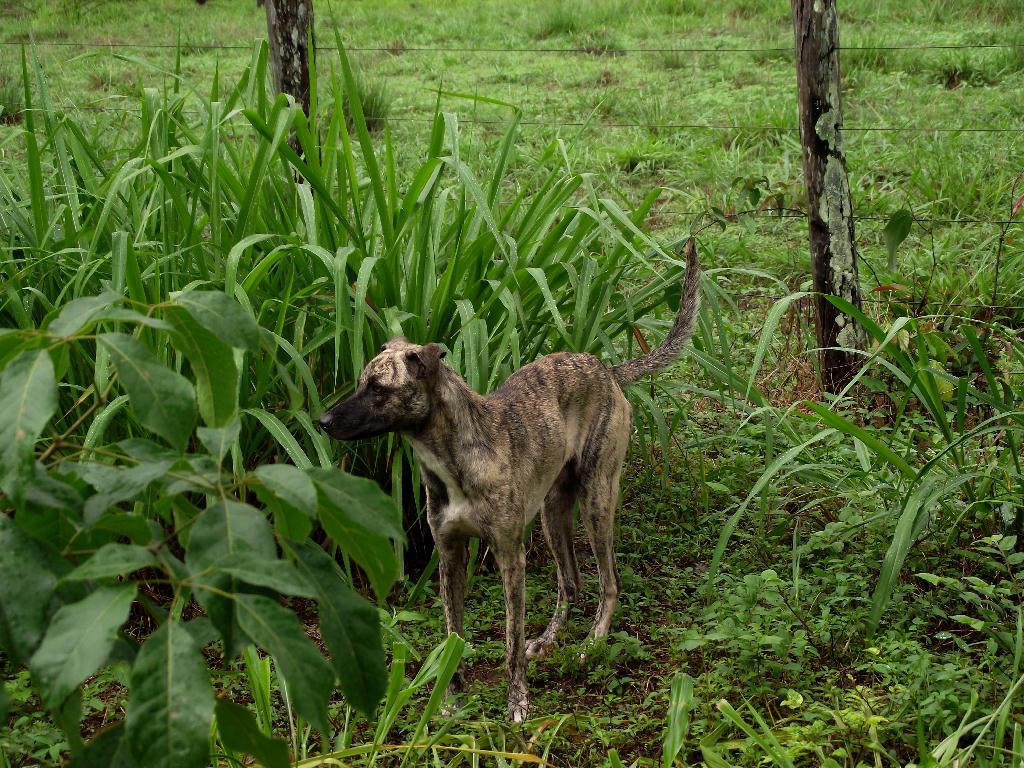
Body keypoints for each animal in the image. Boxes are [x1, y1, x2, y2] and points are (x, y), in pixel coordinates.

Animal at [319, 239, 704, 720]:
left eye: (378, 389)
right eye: (359, 383)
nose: (323, 421)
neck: (456, 453)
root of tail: (606, 370)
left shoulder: (509, 556)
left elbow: (510, 641)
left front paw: (517, 700)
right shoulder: (449, 554)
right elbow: (454, 633)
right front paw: (452, 698)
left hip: (597, 501)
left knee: (608, 582)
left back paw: (592, 643)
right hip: (552, 513)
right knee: (570, 582)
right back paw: (552, 638)